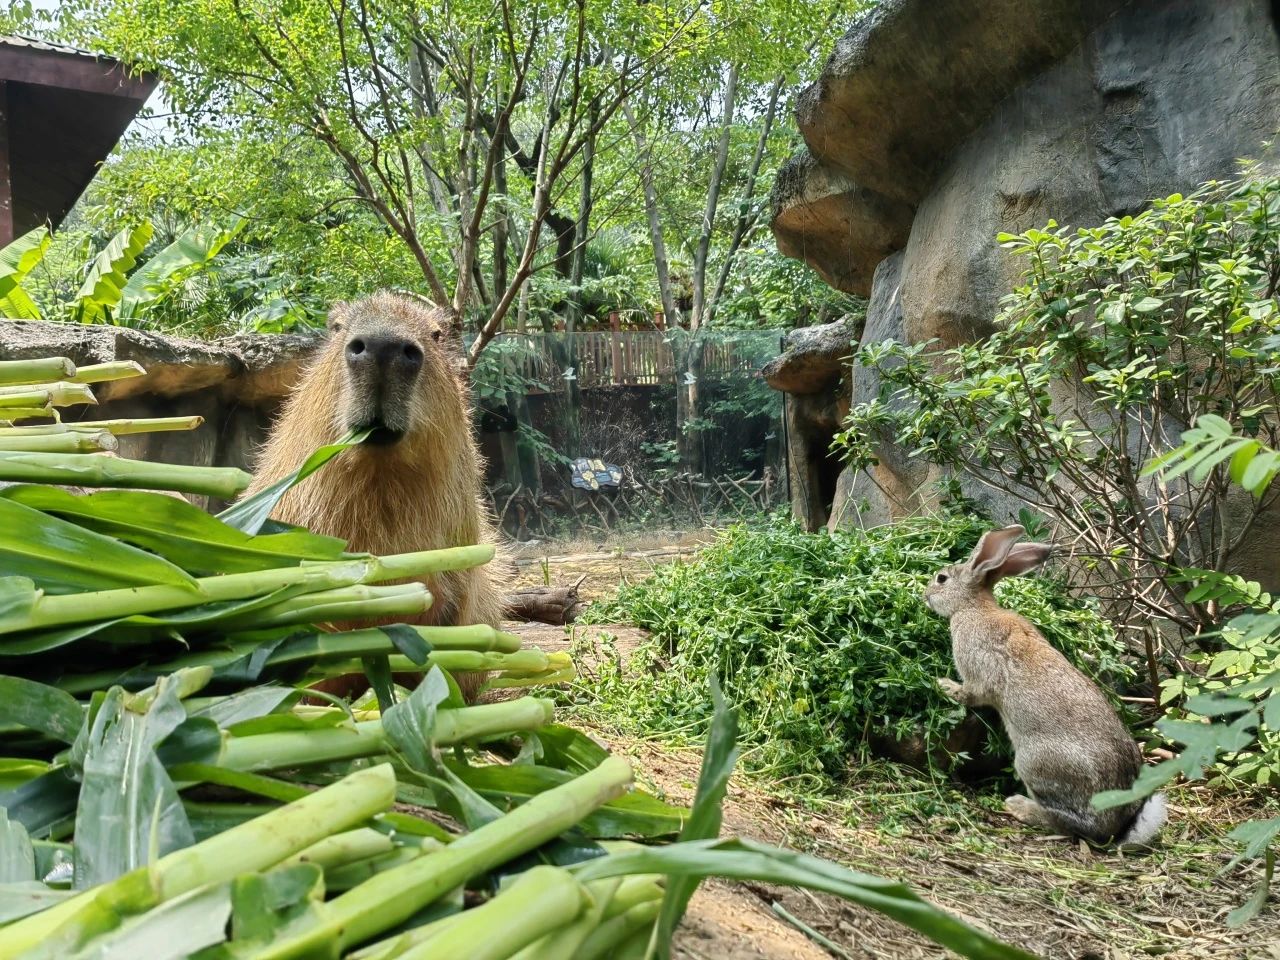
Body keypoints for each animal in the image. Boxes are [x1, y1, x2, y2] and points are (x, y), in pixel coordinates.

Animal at [926, 527, 1167, 849]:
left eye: (942, 578)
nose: (925, 595)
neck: (973, 607)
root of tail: (1117, 824)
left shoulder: (979, 674)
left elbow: (971, 694)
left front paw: (943, 685)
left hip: (1034, 764)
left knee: (1070, 824)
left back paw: (1018, 806)